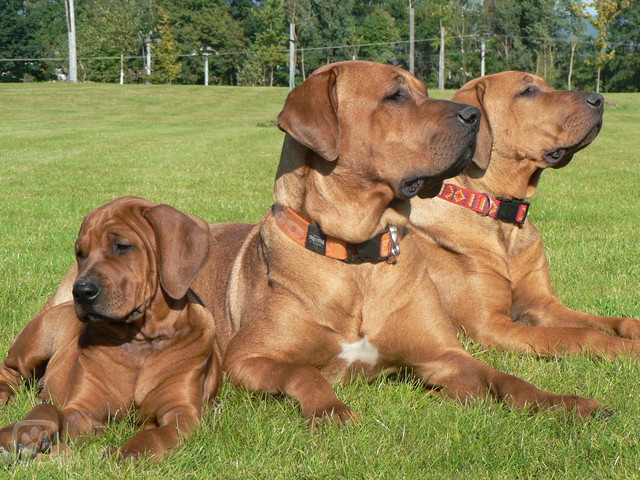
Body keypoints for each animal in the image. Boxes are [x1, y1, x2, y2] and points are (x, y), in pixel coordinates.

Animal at [0, 197, 220, 460]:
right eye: (80, 253)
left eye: (122, 246)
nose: (80, 292)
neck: (140, 341)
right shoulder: (82, 409)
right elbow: (48, 411)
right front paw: (25, 431)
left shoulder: (183, 413)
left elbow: (155, 435)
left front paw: (127, 455)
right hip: (36, 342)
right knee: (10, 370)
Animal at [410, 70, 640, 356]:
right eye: (528, 91)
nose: (599, 99)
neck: (501, 212)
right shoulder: (489, 326)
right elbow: (587, 334)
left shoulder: (544, 305)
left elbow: (617, 321)